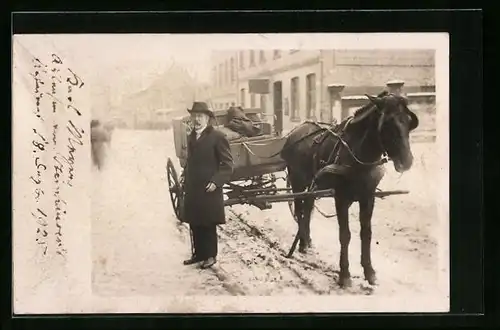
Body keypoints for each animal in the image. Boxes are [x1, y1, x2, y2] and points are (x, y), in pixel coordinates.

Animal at [282, 91, 418, 286]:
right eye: (387, 123)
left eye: (408, 121)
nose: (407, 161)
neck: (359, 156)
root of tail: (294, 132)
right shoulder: (341, 197)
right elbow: (345, 235)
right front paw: (344, 274)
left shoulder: (368, 197)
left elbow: (366, 233)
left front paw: (369, 272)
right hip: (297, 182)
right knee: (300, 210)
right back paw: (301, 242)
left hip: (312, 185)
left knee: (307, 208)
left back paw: (306, 241)